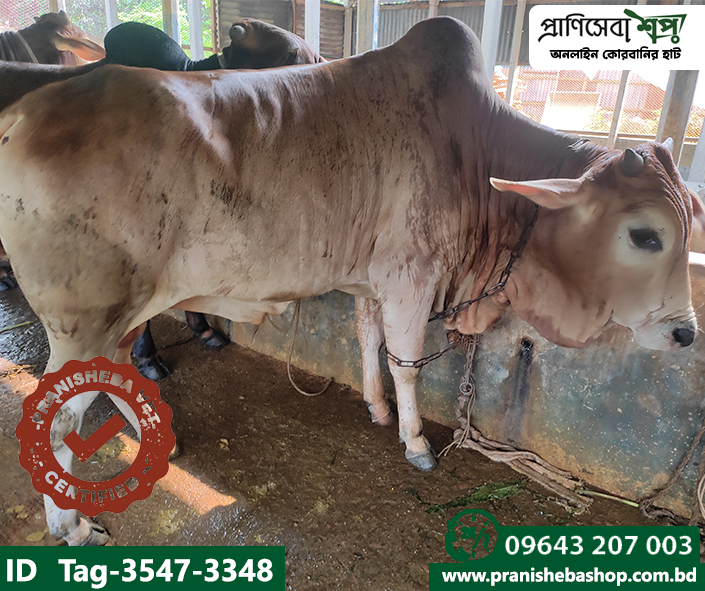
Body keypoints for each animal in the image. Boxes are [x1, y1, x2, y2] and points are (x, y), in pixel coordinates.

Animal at [0, 17, 696, 545]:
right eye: (646, 235)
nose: (686, 334)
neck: (481, 157)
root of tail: (26, 114)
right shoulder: (411, 279)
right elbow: (407, 363)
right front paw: (414, 440)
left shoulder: (371, 282)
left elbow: (369, 342)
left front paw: (375, 407)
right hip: (86, 321)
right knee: (57, 420)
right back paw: (73, 526)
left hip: (119, 315)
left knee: (113, 375)